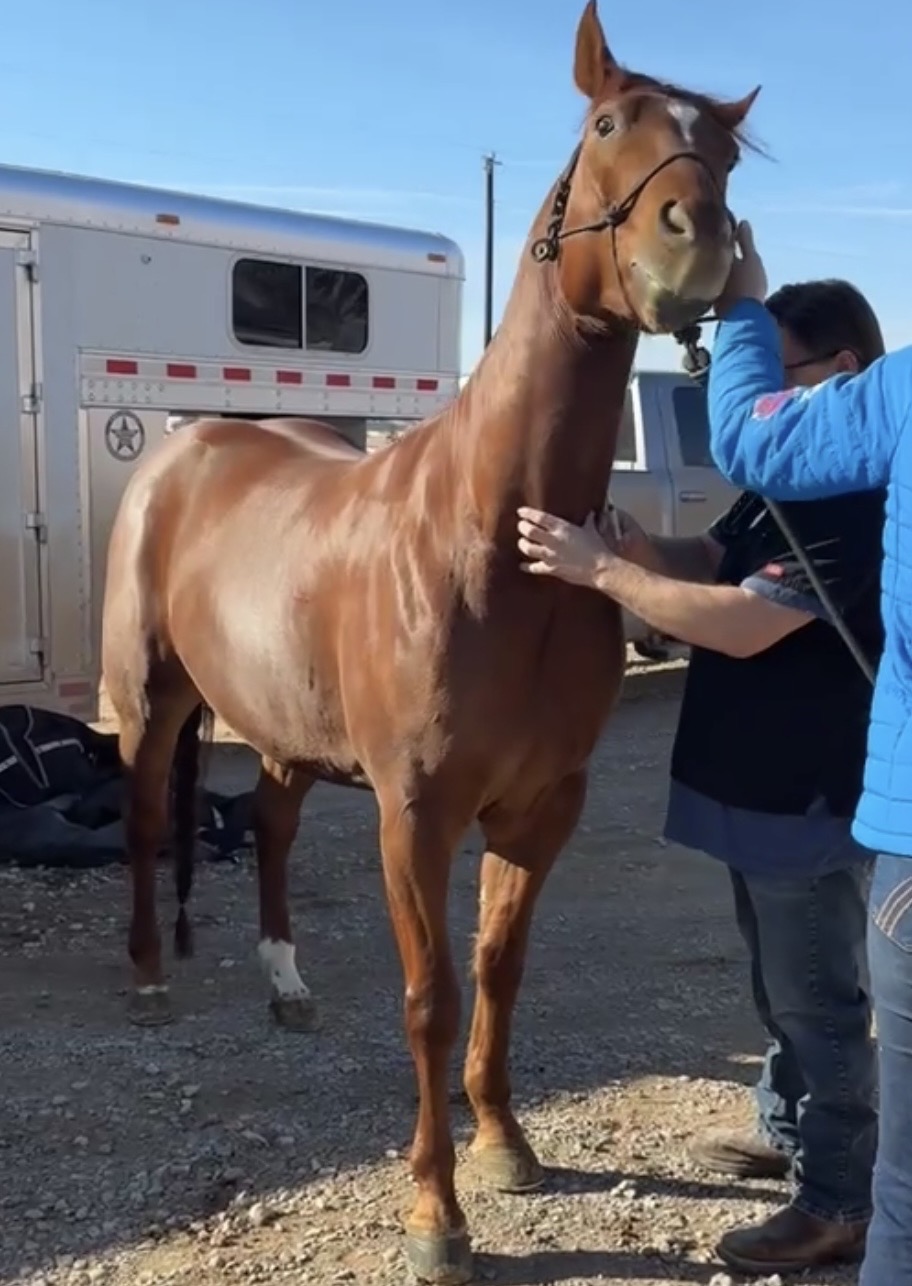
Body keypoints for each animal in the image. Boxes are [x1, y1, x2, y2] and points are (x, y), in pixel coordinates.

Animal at [101, 3, 759, 1280]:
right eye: (608, 125)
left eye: (730, 155)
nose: (697, 242)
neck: (492, 536)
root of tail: (187, 445)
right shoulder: (417, 810)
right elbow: (431, 995)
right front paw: (436, 1212)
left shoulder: (542, 804)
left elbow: (499, 971)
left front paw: (504, 1143)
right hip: (153, 696)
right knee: (151, 817)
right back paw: (148, 977)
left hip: (282, 729)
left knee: (270, 826)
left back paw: (287, 982)